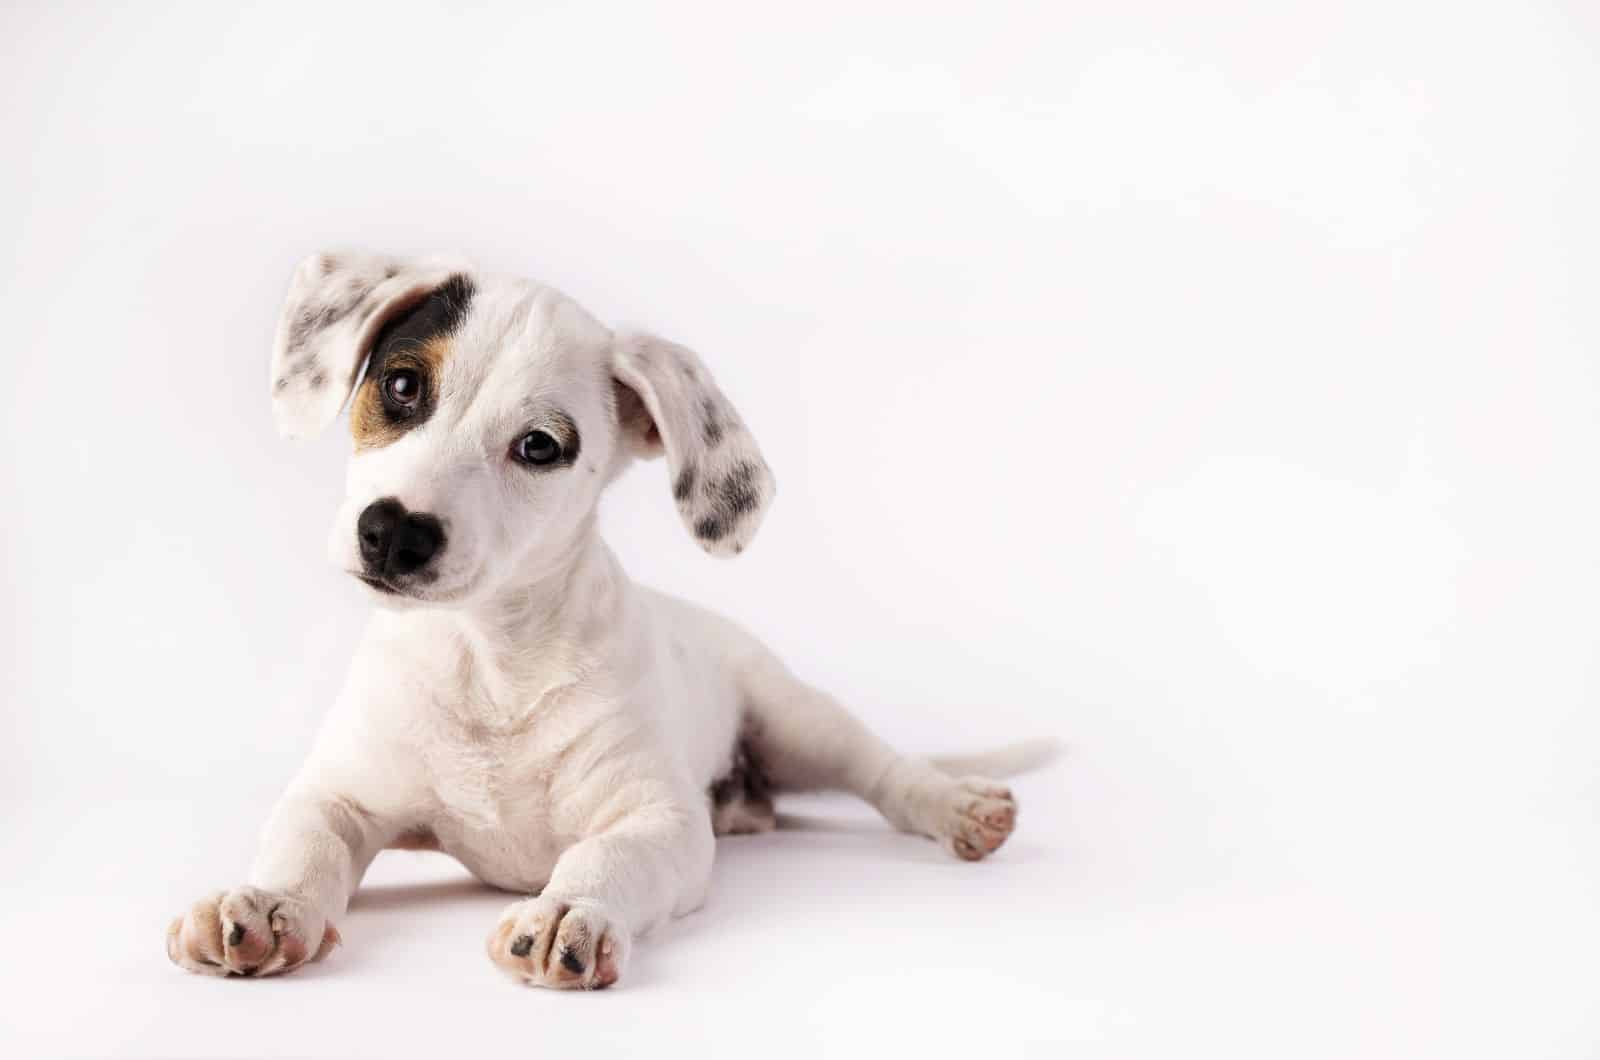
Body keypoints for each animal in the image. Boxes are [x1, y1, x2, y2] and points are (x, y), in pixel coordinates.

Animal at [168, 252, 1030, 992]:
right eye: (404, 384)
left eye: (539, 447)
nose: (394, 532)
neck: (488, 661)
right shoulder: (339, 794)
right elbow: (303, 841)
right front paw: (269, 905)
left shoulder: (660, 822)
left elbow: (609, 859)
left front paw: (565, 911)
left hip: (795, 718)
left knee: (884, 771)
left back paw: (956, 805)